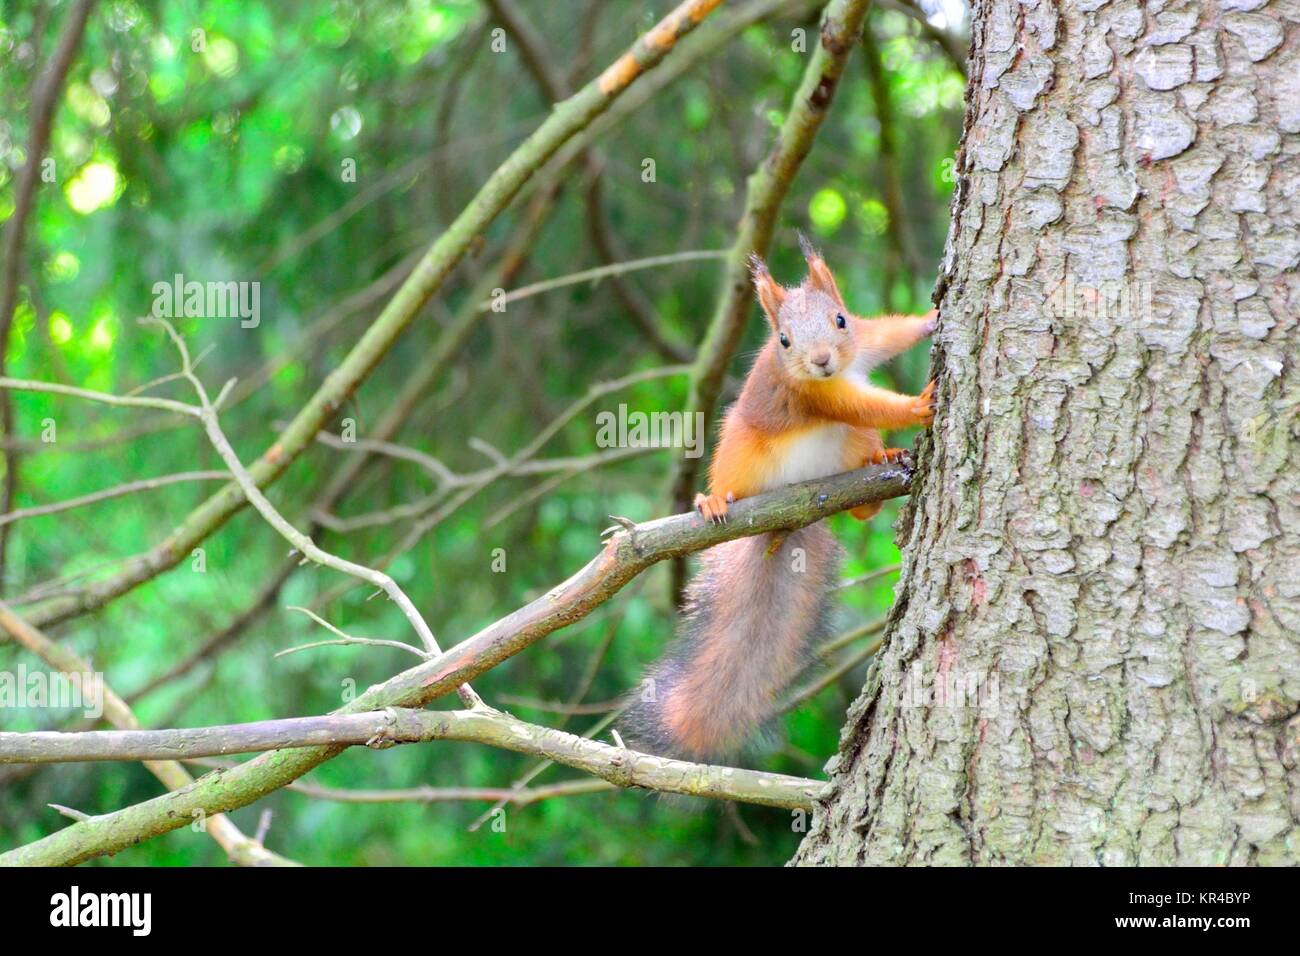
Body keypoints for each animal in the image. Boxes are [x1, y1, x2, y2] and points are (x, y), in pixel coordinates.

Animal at [626, 235, 935, 764]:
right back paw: (714, 501)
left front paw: (931, 317)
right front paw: (917, 405)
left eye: (840, 319)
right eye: (784, 340)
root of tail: (786, 517)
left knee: (861, 487)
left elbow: (892, 332)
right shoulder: (814, 395)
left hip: (849, 445)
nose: (822, 361)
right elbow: (863, 404)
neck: (839, 370)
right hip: (737, 451)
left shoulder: (866, 341)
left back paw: (881, 463)